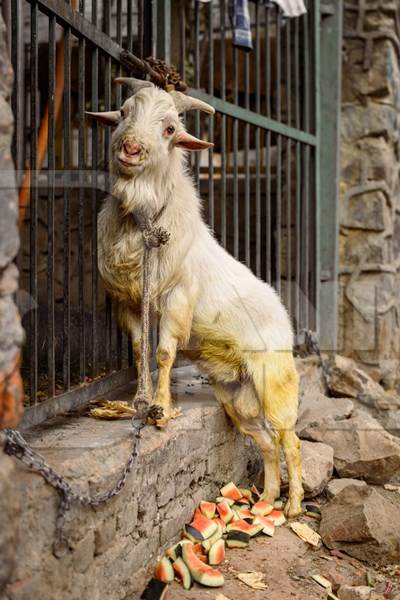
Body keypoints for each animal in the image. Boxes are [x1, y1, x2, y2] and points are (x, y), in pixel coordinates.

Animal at [87, 77, 304, 516]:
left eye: (170, 128)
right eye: (123, 113)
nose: (130, 148)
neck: (144, 222)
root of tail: (283, 316)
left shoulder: (177, 300)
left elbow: (165, 352)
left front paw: (161, 409)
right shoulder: (130, 304)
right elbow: (141, 350)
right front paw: (138, 403)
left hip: (274, 381)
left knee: (289, 440)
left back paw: (292, 507)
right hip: (238, 398)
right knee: (265, 442)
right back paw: (266, 500)